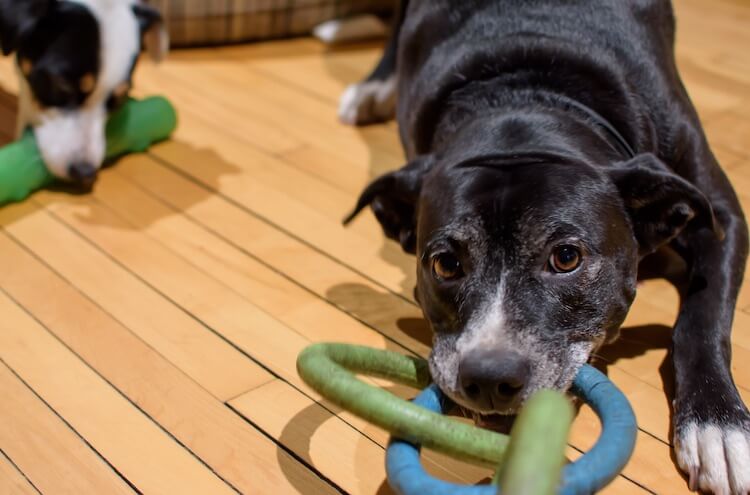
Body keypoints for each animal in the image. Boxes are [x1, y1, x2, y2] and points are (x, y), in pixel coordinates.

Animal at [346, 1, 750, 494]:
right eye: (445, 265)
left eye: (566, 257)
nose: (490, 378)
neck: (526, 94)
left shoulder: (721, 216)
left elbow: (702, 319)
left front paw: (718, 427)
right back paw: (374, 85)